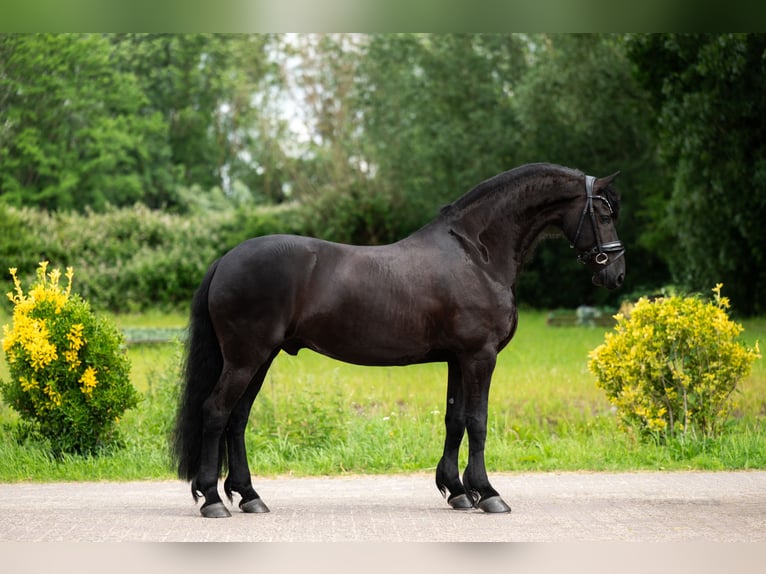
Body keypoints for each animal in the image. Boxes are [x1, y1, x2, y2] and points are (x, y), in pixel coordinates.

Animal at [172, 162, 625, 518]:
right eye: (604, 213)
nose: (616, 274)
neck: (476, 255)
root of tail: (226, 259)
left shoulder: (458, 359)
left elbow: (455, 420)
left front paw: (458, 492)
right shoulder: (480, 357)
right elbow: (478, 422)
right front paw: (488, 493)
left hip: (260, 358)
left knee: (237, 419)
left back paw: (249, 496)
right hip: (246, 358)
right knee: (216, 412)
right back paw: (212, 499)